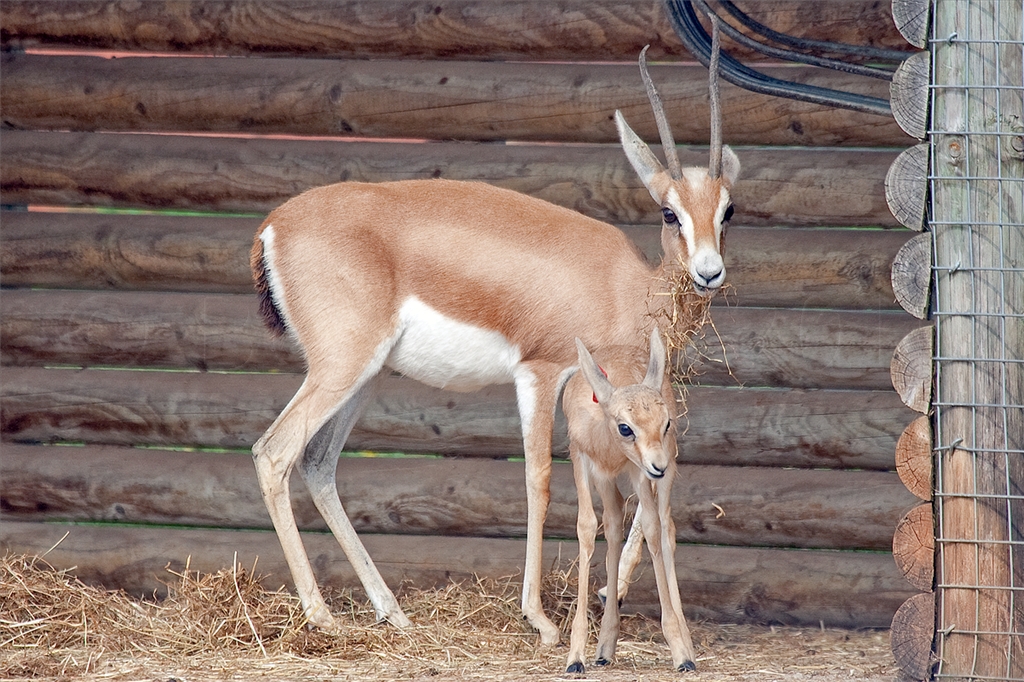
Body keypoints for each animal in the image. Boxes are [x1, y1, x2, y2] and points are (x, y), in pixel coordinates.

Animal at [563, 327, 695, 673]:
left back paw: (686, 645)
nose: (658, 466)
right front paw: (575, 657)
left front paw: (680, 651)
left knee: (665, 528)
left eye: (665, 423)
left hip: (662, 474)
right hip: (612, 482)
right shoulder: (582, 461)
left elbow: (651, 528)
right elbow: (586, 527)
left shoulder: (639, 472)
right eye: (625, 427)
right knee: (612, 526)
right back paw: (604, 647)